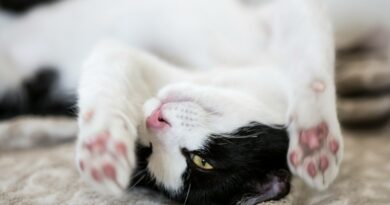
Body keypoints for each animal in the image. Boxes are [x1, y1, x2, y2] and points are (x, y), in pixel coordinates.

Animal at [0, 0, 386, 204]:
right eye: (147, 150)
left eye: (201, 161)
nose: (154, 121)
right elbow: (109, 60)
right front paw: (102, 146)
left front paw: (316, 140)